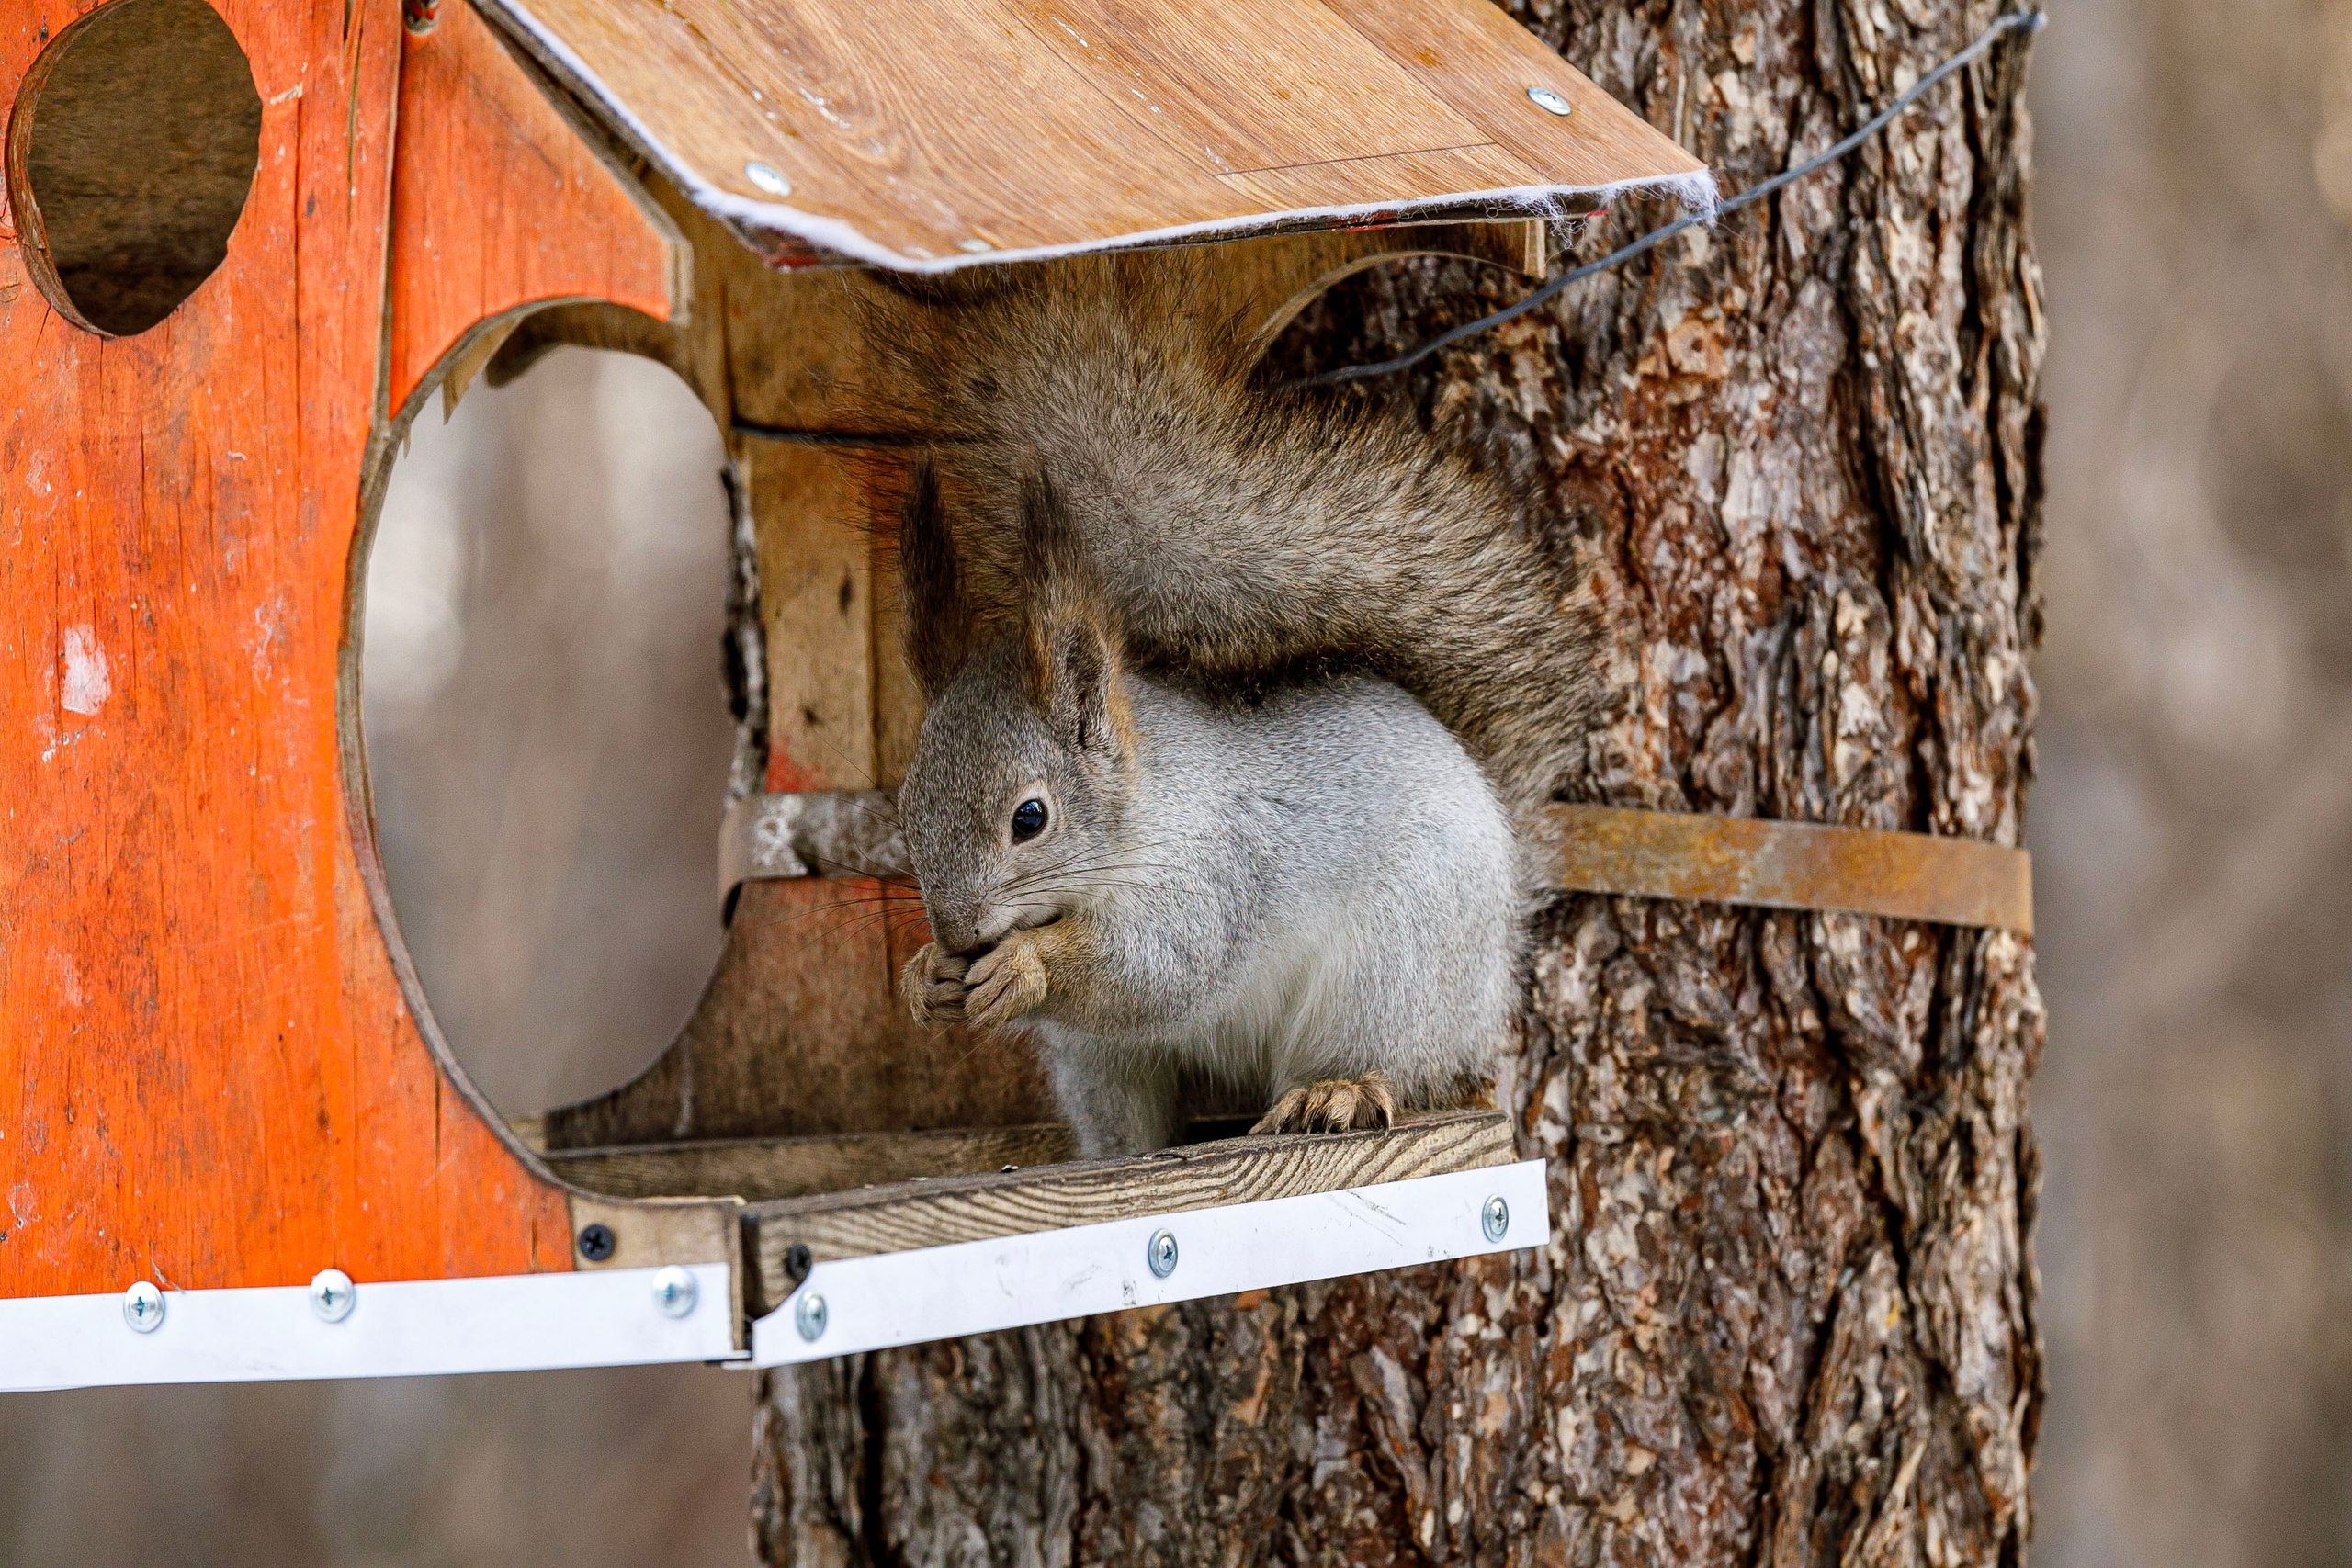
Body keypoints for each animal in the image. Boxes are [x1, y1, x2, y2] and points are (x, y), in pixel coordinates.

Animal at [880, 255, 1607, 1156]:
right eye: (907, 807)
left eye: (1030, 818)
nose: (958, 932)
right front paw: (923, 976)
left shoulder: (1214, 873)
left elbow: (1161, 968)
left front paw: (1025, 965)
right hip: (1099, 1064)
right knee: (1125, 1113)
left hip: (1393, 971)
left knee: (1391, 1061)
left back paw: (1335, 1091)